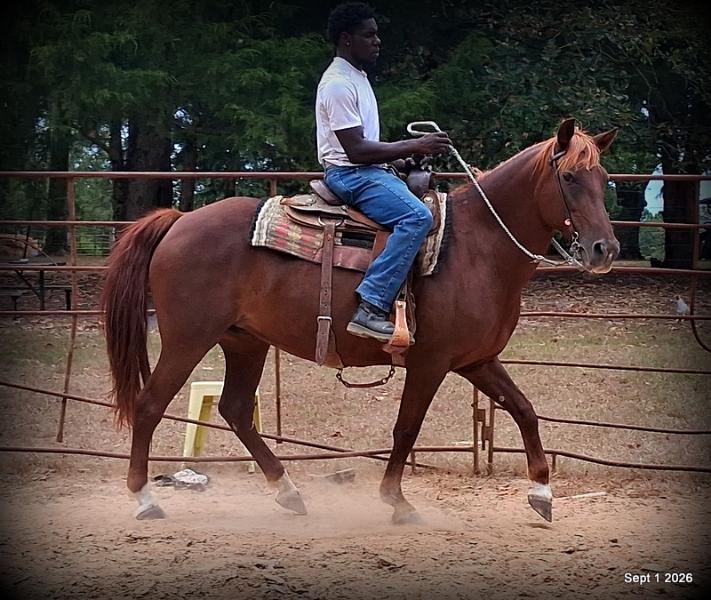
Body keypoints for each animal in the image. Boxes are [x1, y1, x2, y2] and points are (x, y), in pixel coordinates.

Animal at [101, 118, 619, 524]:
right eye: (570, 177)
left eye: (603, 177)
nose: (605, 249)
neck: (477, 245)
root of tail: (179, 220)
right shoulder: (431, 363)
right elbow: (407, 428)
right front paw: (396, 501)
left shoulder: (477, 361)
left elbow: (525, 410)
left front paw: (542, 493)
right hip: (188, 339)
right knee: (150, 405)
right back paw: (146, 500)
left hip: (244, 341)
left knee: (235, 408)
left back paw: (289, 492)